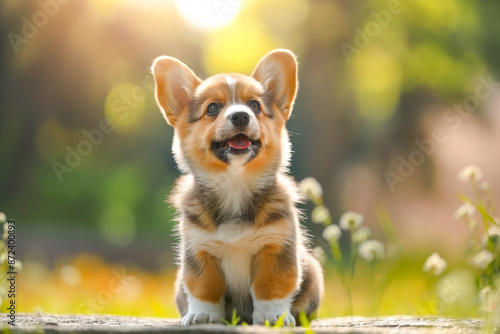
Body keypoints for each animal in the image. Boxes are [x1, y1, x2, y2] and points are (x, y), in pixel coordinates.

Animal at [152, 49, 324, 326]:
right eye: (212, 108)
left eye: (255, 105)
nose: (241, 115)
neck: (235, 183)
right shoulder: (200, 250)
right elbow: (205, 287)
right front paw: (203, 315)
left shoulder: (275, 246)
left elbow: (270, 286)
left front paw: (272, 316)